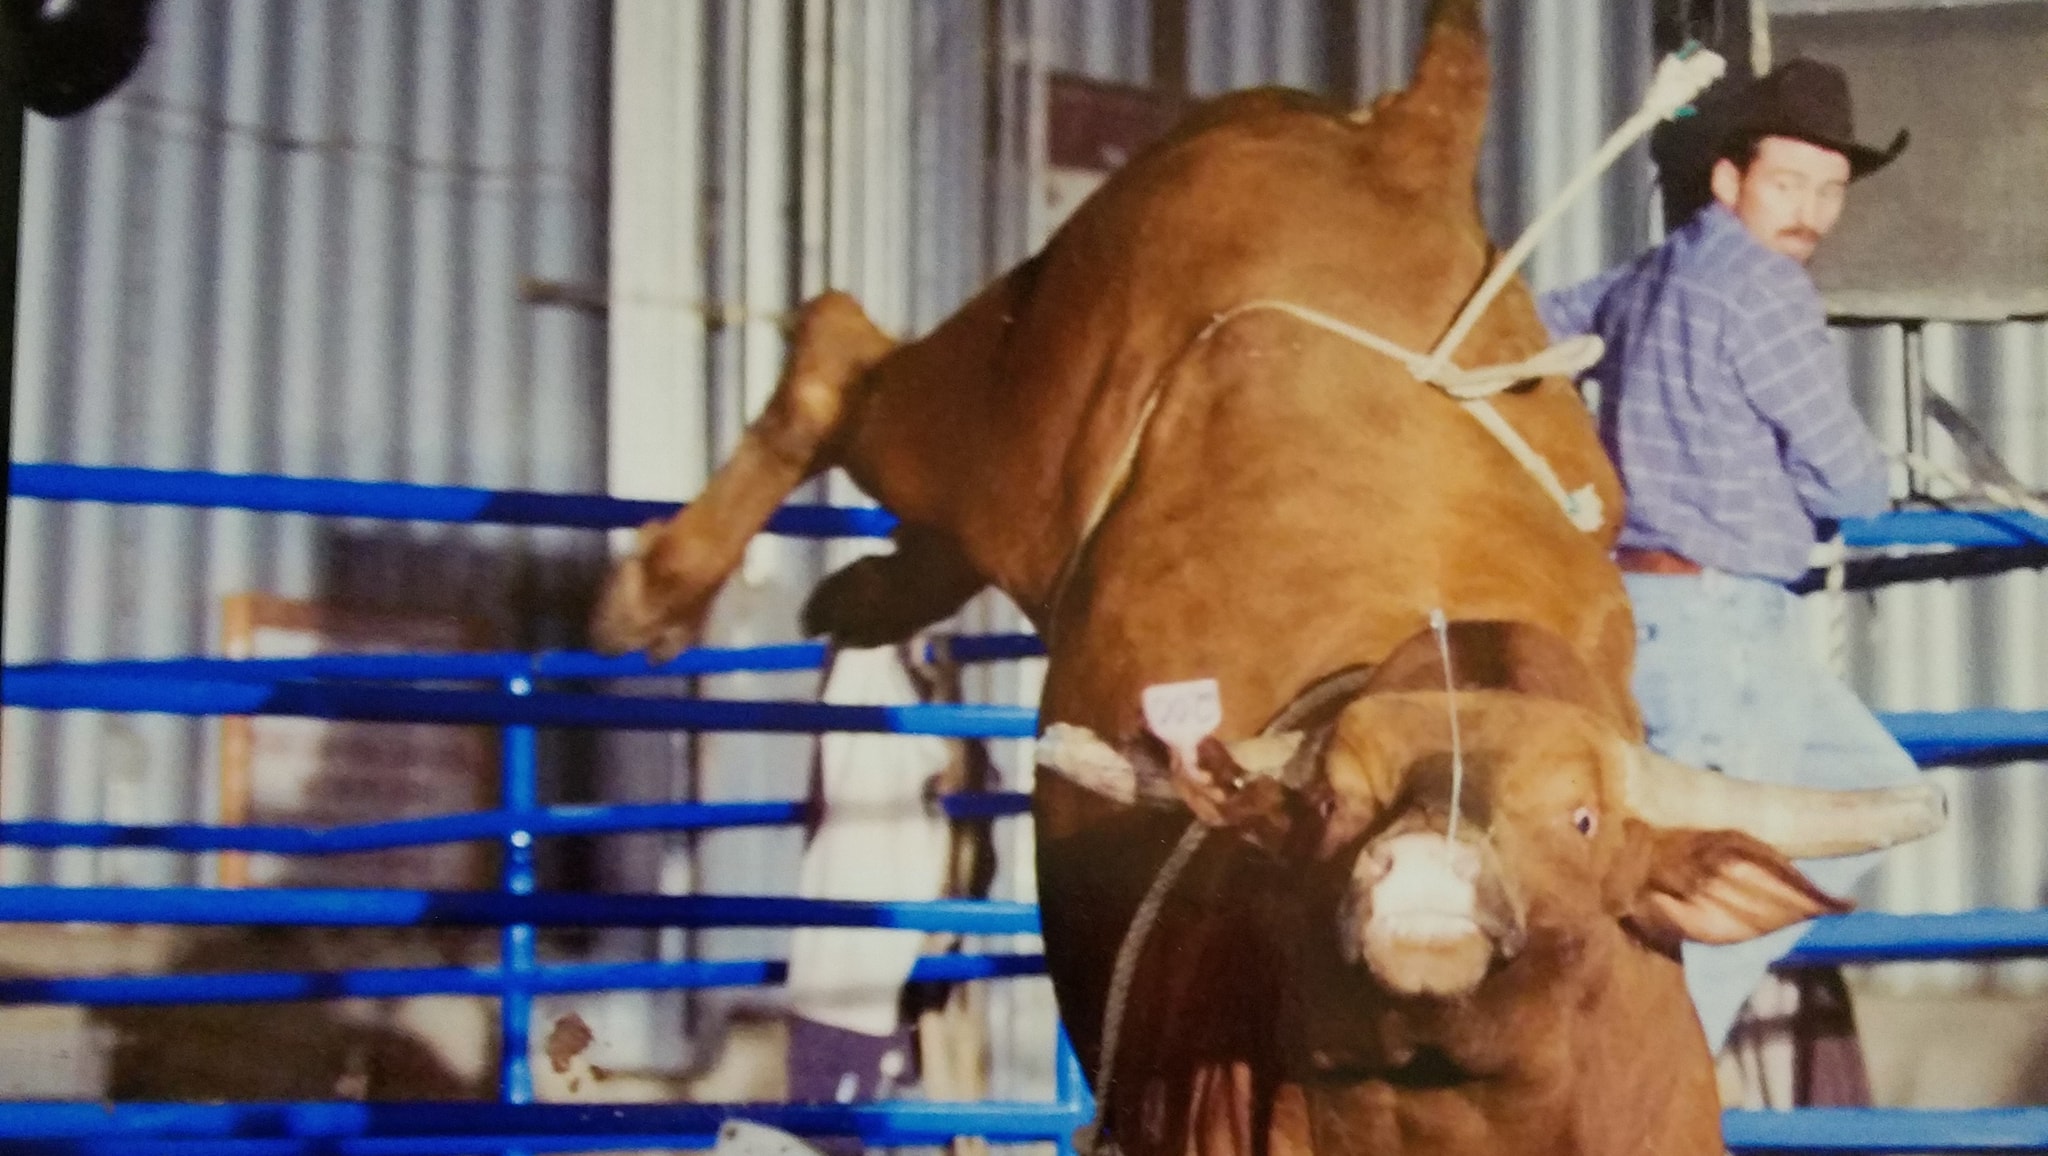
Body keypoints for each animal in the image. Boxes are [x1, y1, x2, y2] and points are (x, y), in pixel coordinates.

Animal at [589, 2, 1946, 1153]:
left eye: (1579, 816)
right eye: (1334, 802)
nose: (1423, 873)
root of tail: (1401, 138)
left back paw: (850, 596)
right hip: (1012, 408)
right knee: (836, 351)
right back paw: (650, 588)